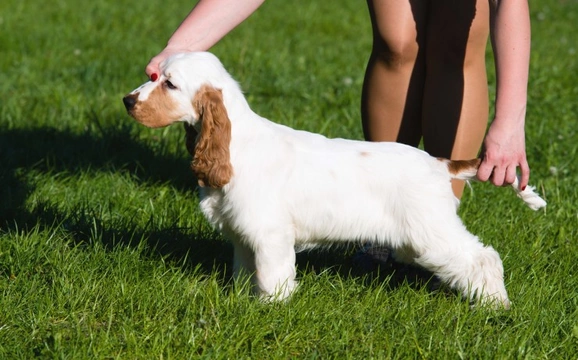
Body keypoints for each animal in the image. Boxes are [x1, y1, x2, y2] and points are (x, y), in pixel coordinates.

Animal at [122, 52, 544, 308]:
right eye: (154, 76)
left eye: (169, 84)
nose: (127, 100)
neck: (234, 143)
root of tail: (439, 164)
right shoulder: (243, 236)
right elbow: (246, 272)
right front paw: (244, 300)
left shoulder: (271, 234)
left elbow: (273, 277)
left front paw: (270, 308)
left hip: (431, 233)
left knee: (483, 258)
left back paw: (496, 306)